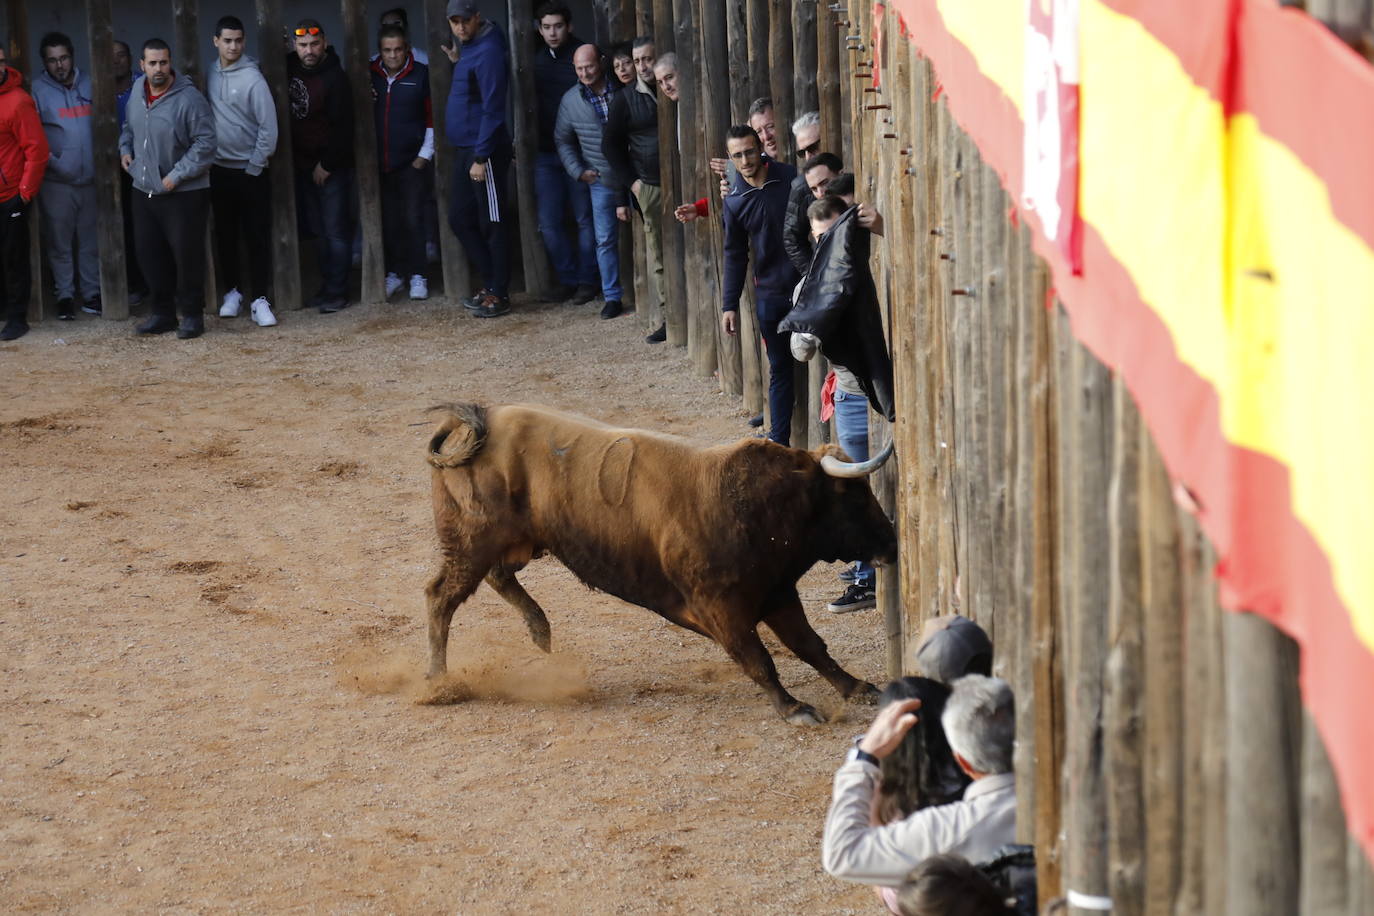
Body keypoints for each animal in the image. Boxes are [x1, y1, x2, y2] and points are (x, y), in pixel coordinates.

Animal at [425, 401, 901, 725]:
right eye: (853, 496)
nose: (891, 542)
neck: (754, 504)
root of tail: (478, 420)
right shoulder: (722, 609)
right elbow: (759, 658)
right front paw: (794, 707)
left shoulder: (778, 592)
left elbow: (811, 646)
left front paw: (857, 687)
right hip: (471, 543)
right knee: (441, 598)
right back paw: (438, 682)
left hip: (512, 543)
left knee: (497, 577)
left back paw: (539, 631)